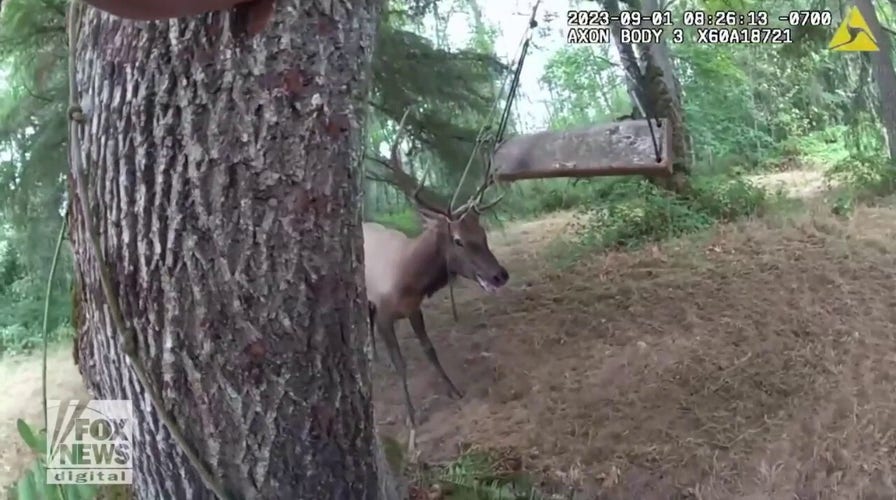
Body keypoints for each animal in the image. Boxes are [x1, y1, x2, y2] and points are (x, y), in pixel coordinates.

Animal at [360, 114, 508, 450]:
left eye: (483, 233)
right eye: (458, 240)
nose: (500, 274)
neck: (407, 280)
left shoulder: (413, 308)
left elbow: (429, 349)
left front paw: (454, 389)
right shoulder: (387, 313)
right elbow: (401, 362)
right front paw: (412, 418)